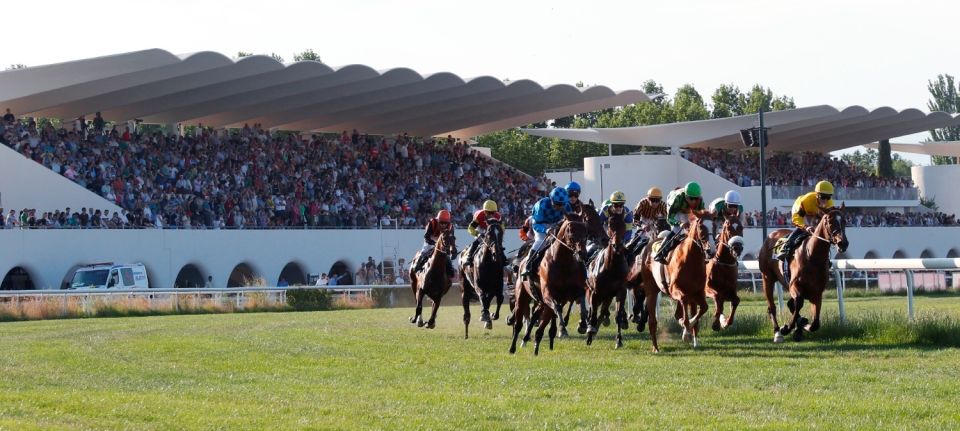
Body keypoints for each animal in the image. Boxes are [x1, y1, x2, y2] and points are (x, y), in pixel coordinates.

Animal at [506, 218, 588, 356]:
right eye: (571, 233)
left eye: (586, 234)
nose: (582, 254)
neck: (563, 262)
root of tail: (521, 262)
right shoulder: (549, 295)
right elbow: (557, 309)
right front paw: (562, 327)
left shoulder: (572, 293)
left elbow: (581, 301)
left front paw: (582, 324)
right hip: (523, 297)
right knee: (518, 324)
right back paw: (513, 348)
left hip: (541, 302)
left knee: (536, 317)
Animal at [584, 210, 632, 352]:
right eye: (610, 225)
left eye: (623, 225)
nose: (616, 245)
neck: (611, 267)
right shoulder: (595, 292)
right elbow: (593, 312)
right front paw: (589, 333)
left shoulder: (620, 292)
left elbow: (617, 315)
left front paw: (619, 340)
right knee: (592, 311)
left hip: (608, 296)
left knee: (603, 311)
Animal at [756, 206, 848, 344]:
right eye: (830, 222)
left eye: (844, 221)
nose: (843, 243)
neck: (813, 257)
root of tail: (771, 235)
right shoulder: (795, 285)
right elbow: (798, 303)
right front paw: (787, 328)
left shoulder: (817, 292)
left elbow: (815, 324)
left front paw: (802, 325)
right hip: (767, 277)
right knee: (772, 307)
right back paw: (778, 332)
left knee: (790, 304)